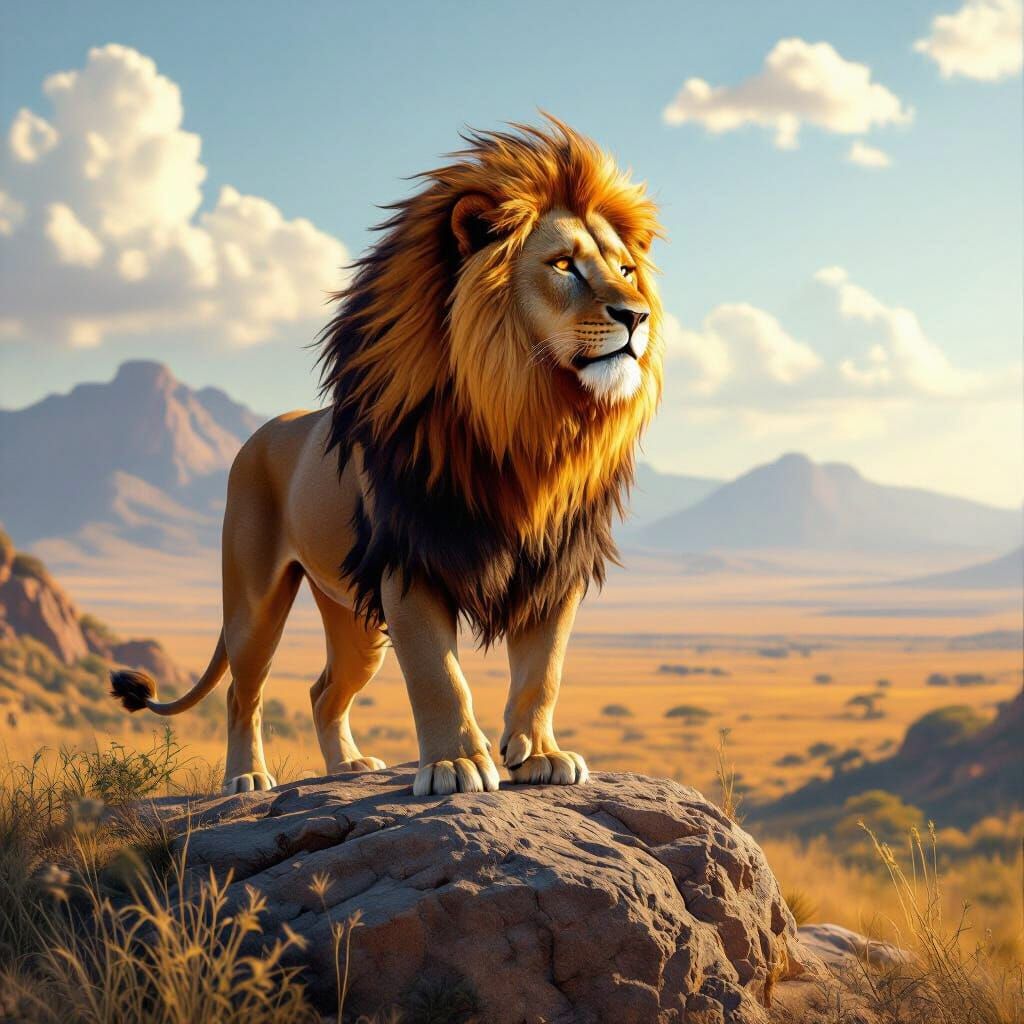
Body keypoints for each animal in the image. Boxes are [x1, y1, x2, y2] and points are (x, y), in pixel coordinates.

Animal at [111, 118, 664, 796]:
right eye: (563, 265)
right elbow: (437, 674)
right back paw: (246, 778)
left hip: (353, 617)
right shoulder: (409, 557)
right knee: (245, 692)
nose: (636, 316)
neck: (527, 423)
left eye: (626, 269)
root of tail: (264, 430)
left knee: (324, 690)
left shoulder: (554, 567)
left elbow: (544, 671)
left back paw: (348, 766)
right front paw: (455, 765)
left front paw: (539, 755)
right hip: (255, 600)